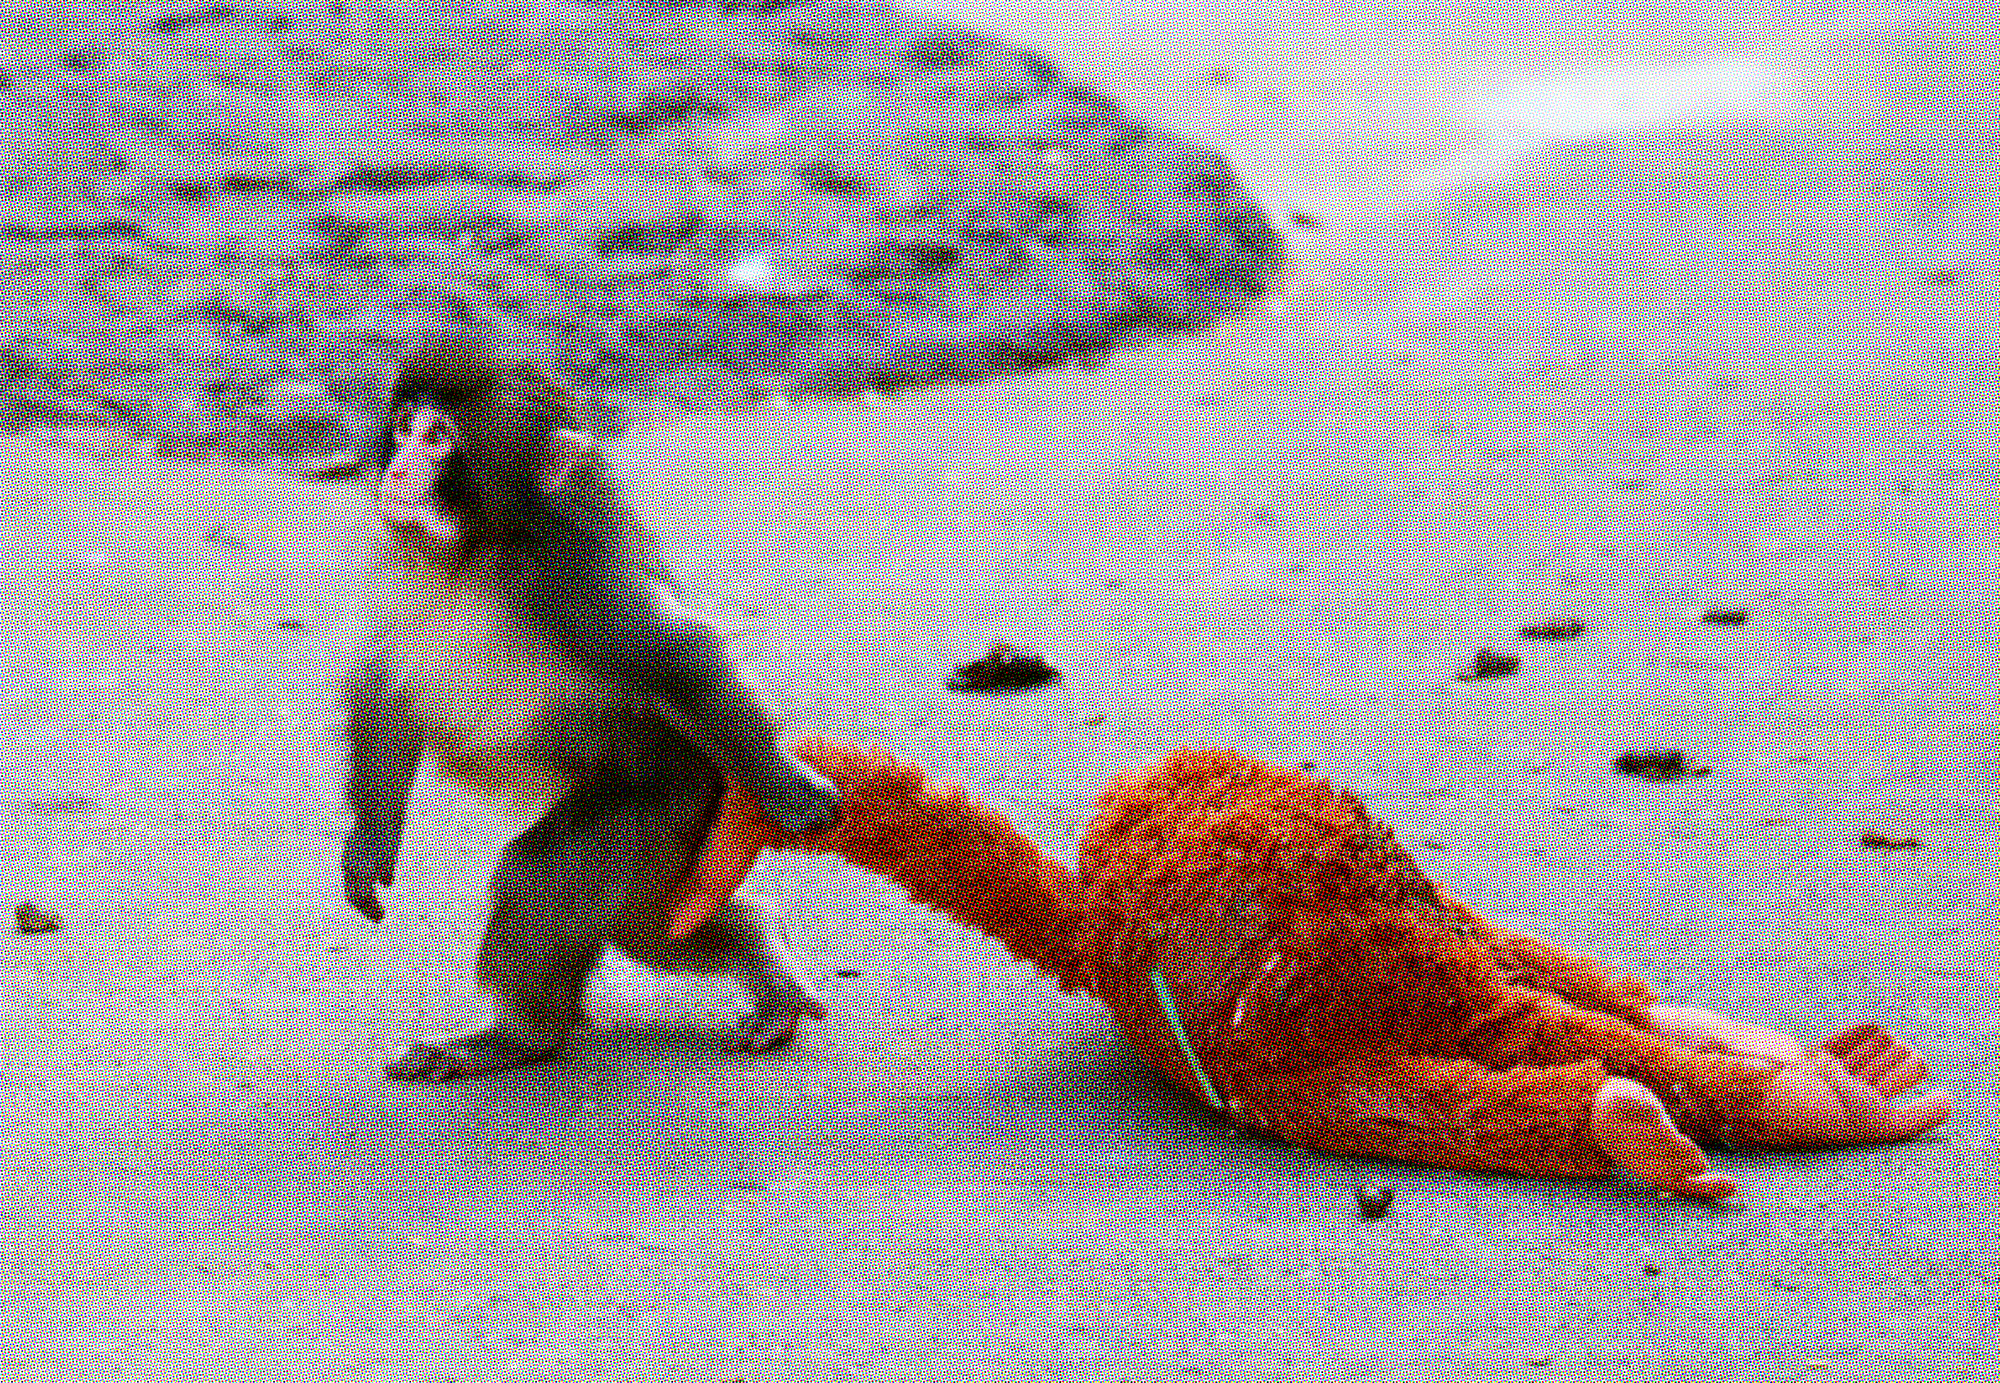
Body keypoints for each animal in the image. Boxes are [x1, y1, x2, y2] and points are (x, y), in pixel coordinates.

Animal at [343, 328, 839, 1079]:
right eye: (402, 429)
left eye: (439, 438)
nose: (397, 469)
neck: (475, 551)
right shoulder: (395, 556)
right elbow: (386, 688)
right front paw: (368, 850)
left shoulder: (572, 575)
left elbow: (673, 661)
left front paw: (788, 786)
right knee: (655, 930)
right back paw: (765, 969)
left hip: (664, 805)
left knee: (546, 884)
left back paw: (524, 1036)